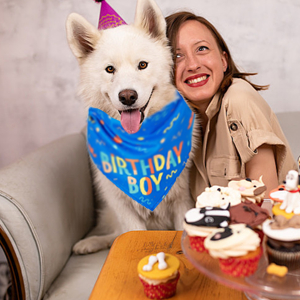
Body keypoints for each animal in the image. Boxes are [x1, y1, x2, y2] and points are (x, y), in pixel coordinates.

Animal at [66, 0, 197, 254]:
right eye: (110, 69)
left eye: (142, 65)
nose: (127, 96)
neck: (140, 142)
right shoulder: (122, 205)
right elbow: (128, 236)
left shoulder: (182, 200)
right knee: (114, 236)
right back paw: (90, 243)